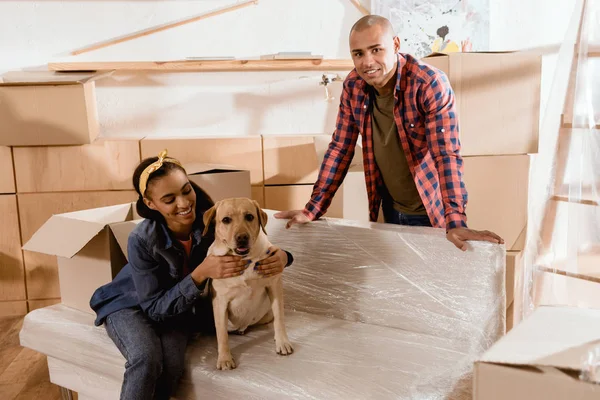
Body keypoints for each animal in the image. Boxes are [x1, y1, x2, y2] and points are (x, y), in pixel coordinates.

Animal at [203, 198, 294, 370]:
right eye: (226, 220)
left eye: (249, 217)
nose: (242, 238)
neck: (245, 260)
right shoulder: (219, 301)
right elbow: (222, 334)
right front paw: (224, 358)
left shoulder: (274, 285)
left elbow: (280, 319)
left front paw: (282, 342)